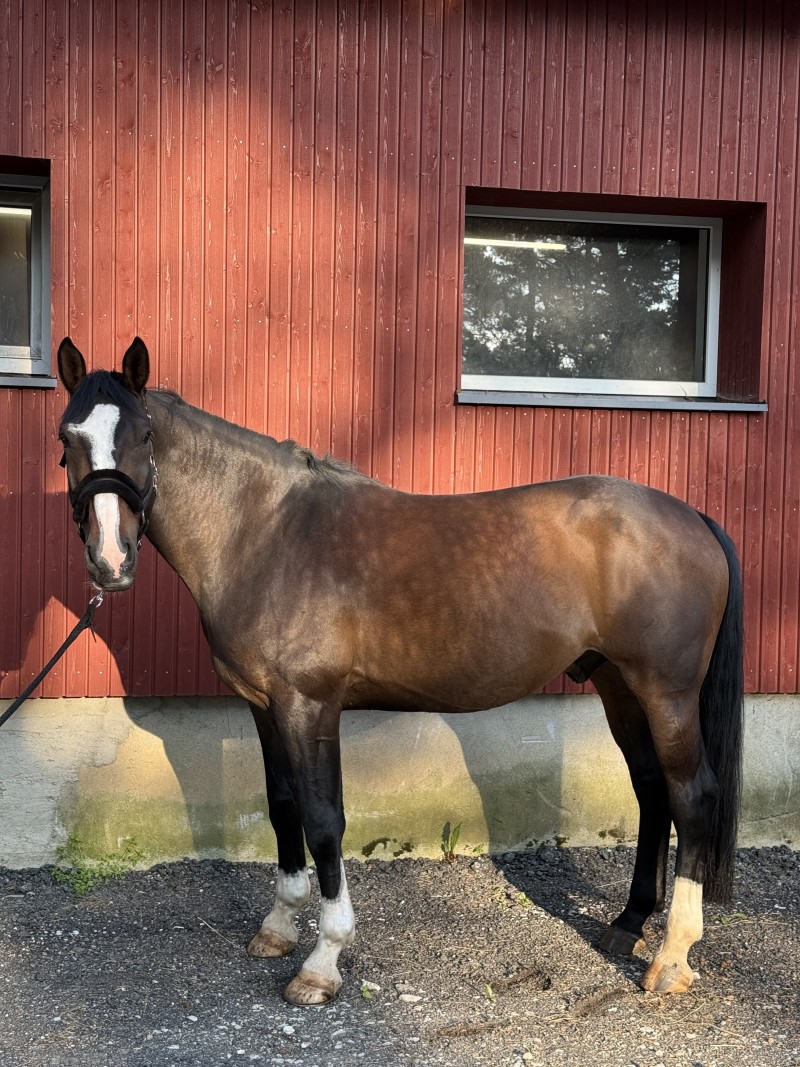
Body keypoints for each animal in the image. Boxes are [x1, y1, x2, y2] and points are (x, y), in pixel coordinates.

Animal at [56, 336, 744, 1006]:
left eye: (145, 435)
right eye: (67, 439)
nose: (110, 561)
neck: (266, 534)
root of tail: (693, 518)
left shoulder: (309, 706)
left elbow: (323, 820)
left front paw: (322, 963)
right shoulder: (264, 706)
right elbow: (283, 807)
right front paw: (278, 927)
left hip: (666, 692)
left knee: (692, 795)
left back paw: (672, 958)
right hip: (617, 684)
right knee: (652, 790)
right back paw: (627, 924)